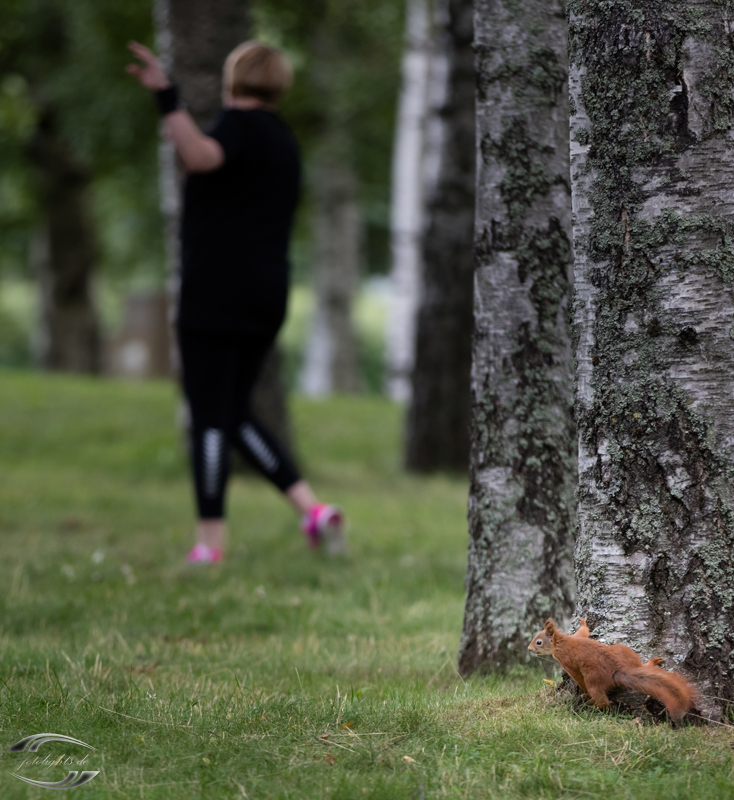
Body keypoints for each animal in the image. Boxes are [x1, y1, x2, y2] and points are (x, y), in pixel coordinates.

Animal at [528, 616, 696, 720]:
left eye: (538, 642)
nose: (529, 649)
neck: (561, 641)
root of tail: (617, 671)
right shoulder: (577, 637)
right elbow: (583, 632)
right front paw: (583, 623)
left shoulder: (567, 661)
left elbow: (577, 676)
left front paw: (584, 692)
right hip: (622, 650)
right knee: (637, 664)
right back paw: (650, 664)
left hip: (593, 678)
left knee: (603, 701)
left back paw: (591, 703)